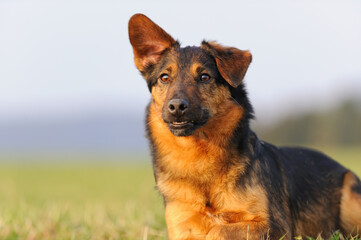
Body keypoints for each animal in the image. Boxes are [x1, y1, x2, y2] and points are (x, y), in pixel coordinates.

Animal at [127, 13, 360, 240]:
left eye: (204, 77)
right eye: (164, 78)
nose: (176, 107)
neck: (199, 155)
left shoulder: (276, 227)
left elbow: (218, 230)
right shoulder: (181, 227)